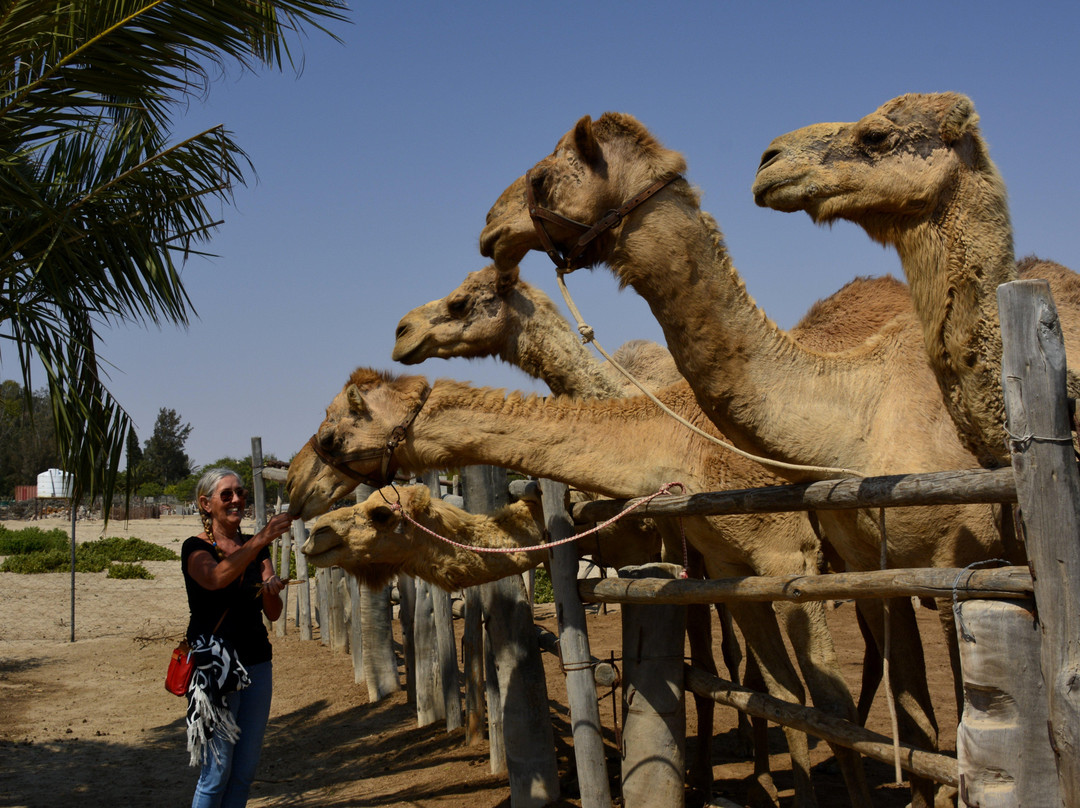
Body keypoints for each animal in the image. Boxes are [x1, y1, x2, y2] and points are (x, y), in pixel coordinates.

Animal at [476, 111, 1003, 807]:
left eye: (541, 178)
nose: (489, 229)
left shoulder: (806, 559)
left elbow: (812, 693)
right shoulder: (723, 565)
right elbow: (753, 679)